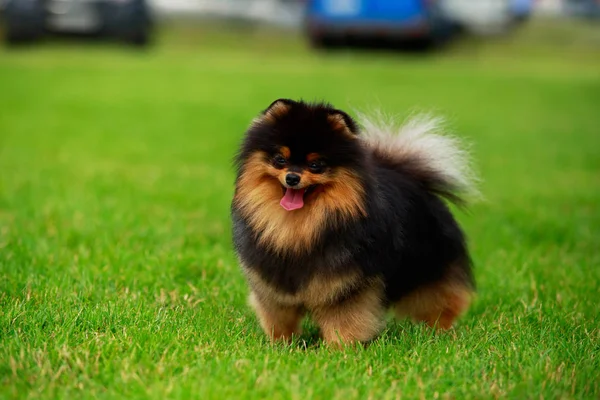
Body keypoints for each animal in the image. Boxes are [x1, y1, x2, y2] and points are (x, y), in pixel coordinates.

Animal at [231, 98, 478, 346]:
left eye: (316, 165)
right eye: (280, 159)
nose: (292, 177)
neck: (301, 224)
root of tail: (409, 176)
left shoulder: (346, 285)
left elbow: (344, 320)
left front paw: (340, 348)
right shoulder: (273, 285)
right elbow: (279, 317)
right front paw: (281, 344)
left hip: (430, 268)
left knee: (440, 302)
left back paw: (439, 332)